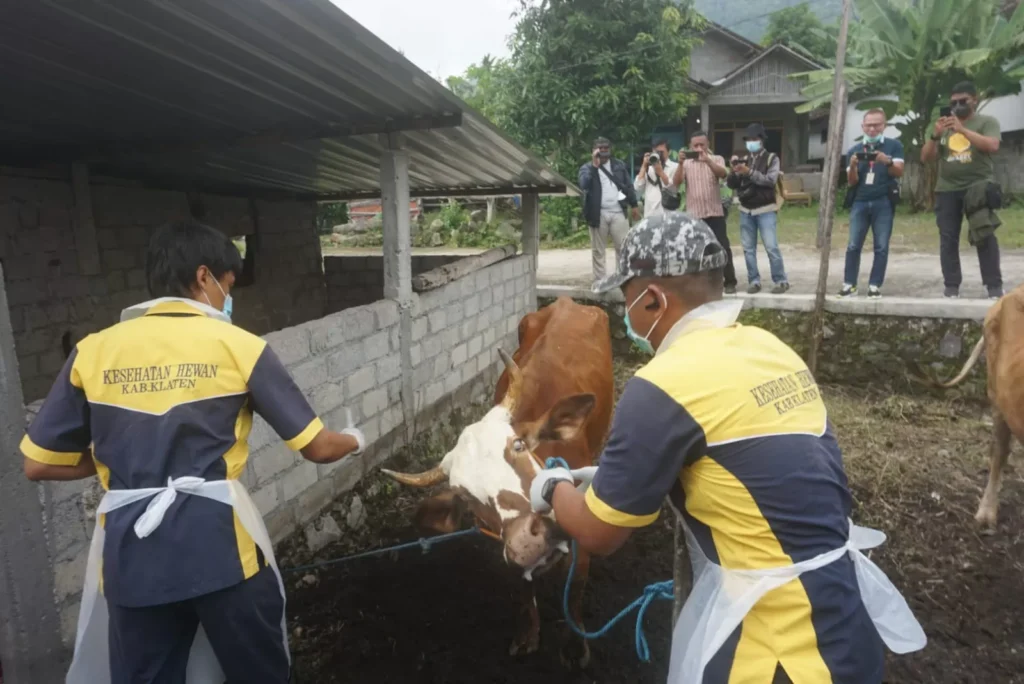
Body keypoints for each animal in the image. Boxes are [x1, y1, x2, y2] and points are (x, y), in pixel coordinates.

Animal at [382, 296, 606, 663]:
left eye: (517, 445)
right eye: (464, 496)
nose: (528, 542)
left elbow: (574, 593)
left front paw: (575, 646)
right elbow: (524, 589)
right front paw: (528, 635)